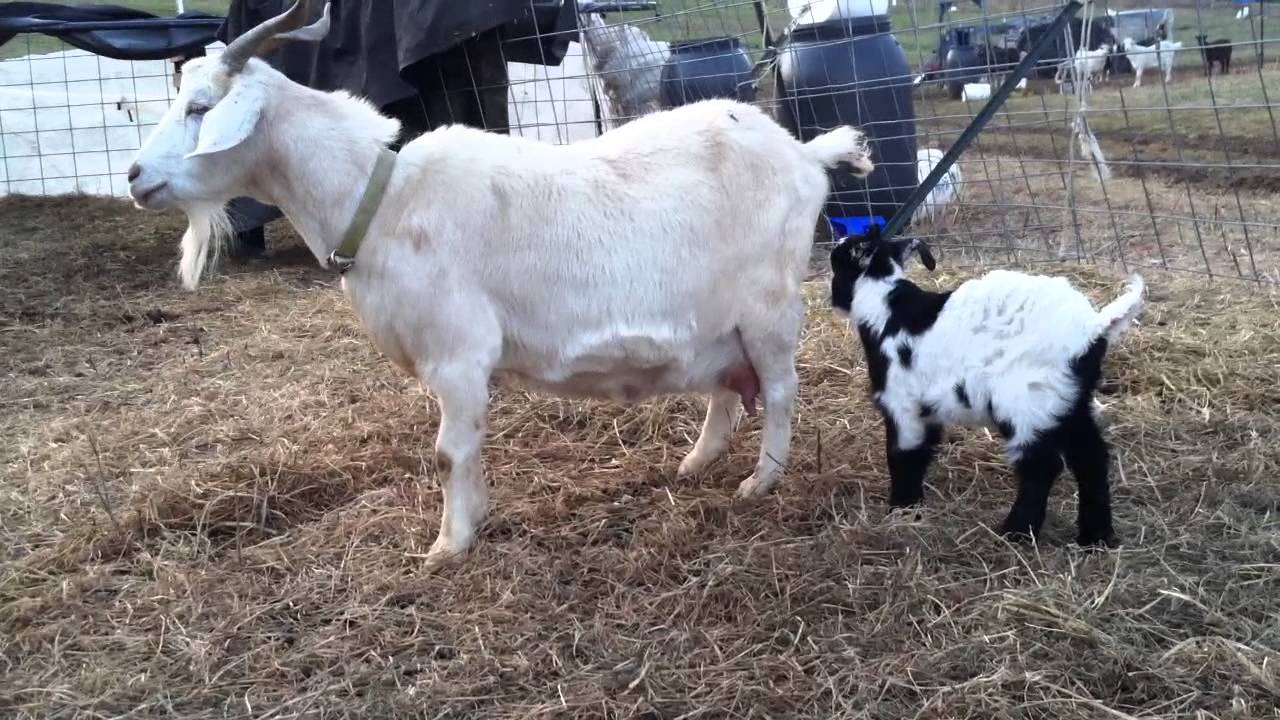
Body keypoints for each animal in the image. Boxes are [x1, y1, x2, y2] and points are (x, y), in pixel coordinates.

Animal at [125, 0, 875, 567]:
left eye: (200, 106)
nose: (135, 176)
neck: (385, 196)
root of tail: (804, 153)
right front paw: (473, 520)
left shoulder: (457, 354)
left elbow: (448, 450)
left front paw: (448, 544)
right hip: (717, 318)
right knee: (727, 384)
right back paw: (697, 462)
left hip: (769, 306)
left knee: (780, 388)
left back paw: (761, 479)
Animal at [828, 227, 1144, 546]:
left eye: (837, 261)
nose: (833, 298)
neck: (883, 306)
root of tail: (1093, 329)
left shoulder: (902, 401)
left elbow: (905, 454)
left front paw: (902, 510)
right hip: (1069, 399)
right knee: (1091, 458)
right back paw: (1095, 538)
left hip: (1028, 399)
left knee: (1041, 466)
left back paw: (1015, 533)